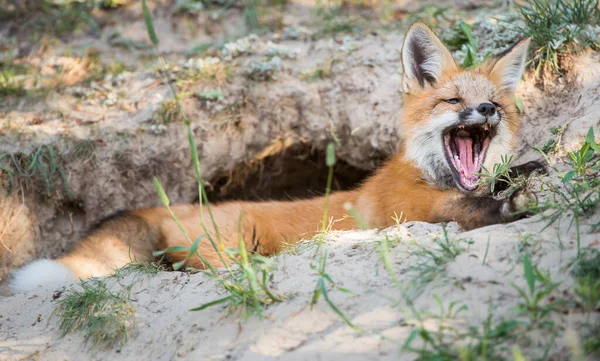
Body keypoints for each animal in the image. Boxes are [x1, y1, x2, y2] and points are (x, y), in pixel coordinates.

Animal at [7, 22, 540, 292]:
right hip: (232, 247)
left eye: (494, 101)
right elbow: (470, 210)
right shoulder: (409, 211)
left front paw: (526, 172)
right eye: (453, 100)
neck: (432, 176)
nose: (486, 110)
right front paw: (509, 205)